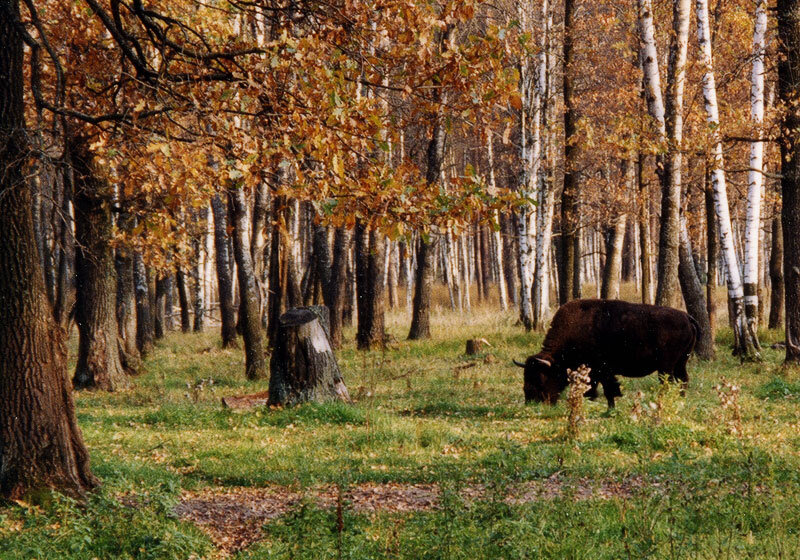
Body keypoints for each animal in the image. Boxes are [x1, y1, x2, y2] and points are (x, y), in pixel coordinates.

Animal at [516, 300, 696, 410]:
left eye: (541, 377)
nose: (531, 401)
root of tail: (686, 317)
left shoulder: (601, 370)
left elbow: (608, 389)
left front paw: (609, 407)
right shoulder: (595, 373)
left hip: (666, 367)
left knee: (669, 382)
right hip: (680, 363)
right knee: (683, 380)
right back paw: (681, 400)